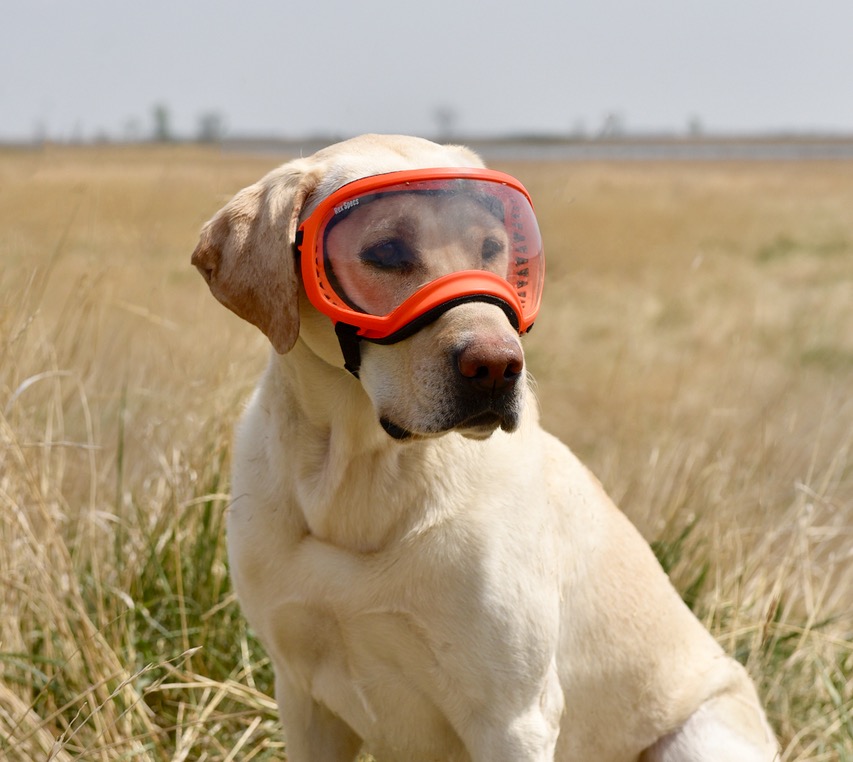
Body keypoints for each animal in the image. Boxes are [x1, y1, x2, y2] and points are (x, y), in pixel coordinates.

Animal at [193, 135, 780, 760]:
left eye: (494, 248)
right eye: (385, 250)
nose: (498, 366)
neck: (362, 474)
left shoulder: (514, 718)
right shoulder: (303, 698)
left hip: (698, 734)